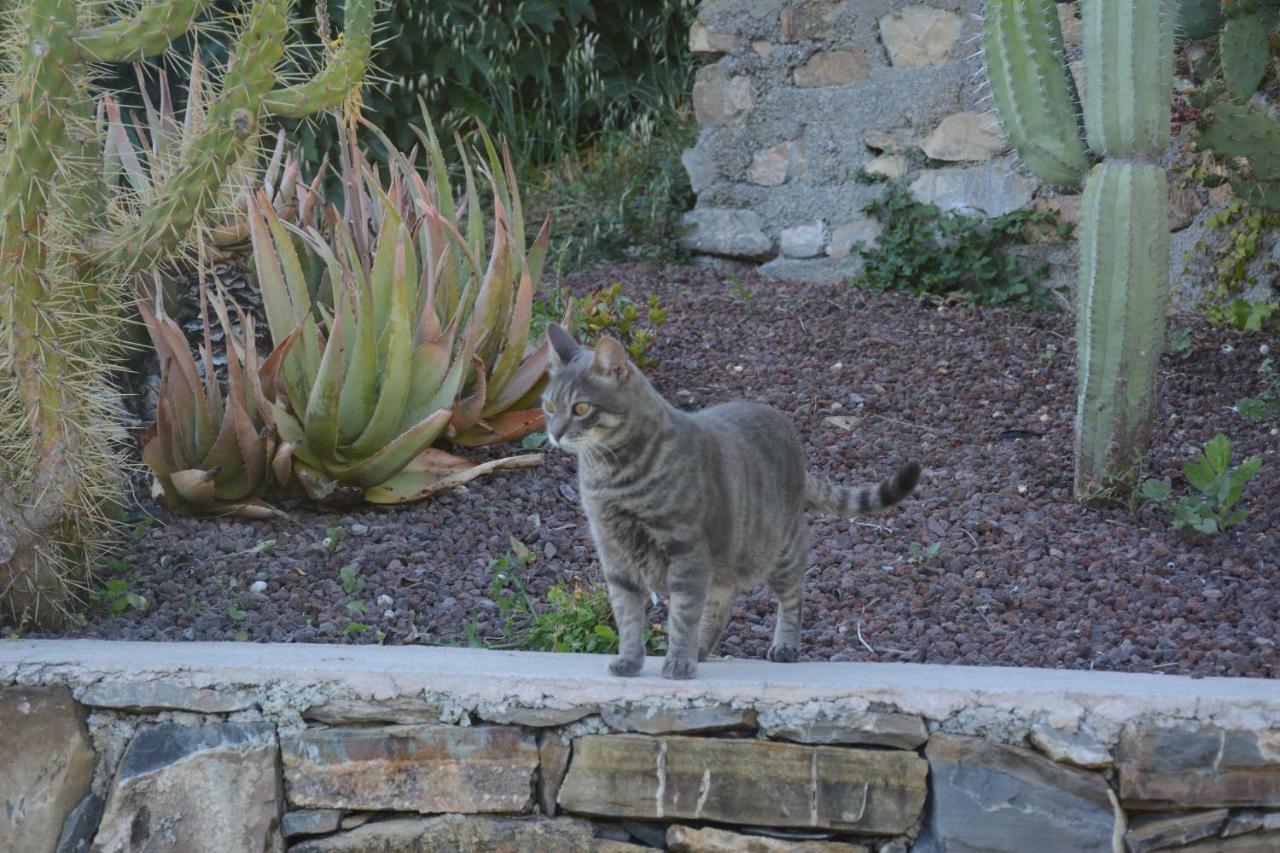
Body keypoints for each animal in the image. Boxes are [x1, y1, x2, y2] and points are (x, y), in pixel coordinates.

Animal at [542, 320, 921, 676]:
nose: (554, 432)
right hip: (724, 560)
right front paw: (630, 661)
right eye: (548, 405)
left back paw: (783, 646)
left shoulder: (686, 550)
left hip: (781, 551)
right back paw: (700, 650)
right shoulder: (615, 556)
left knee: (793, 598)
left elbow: (681, 616)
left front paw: (677, 663)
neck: (612, 478)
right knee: (720, 607)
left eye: (580, 408)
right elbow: (628, 618)